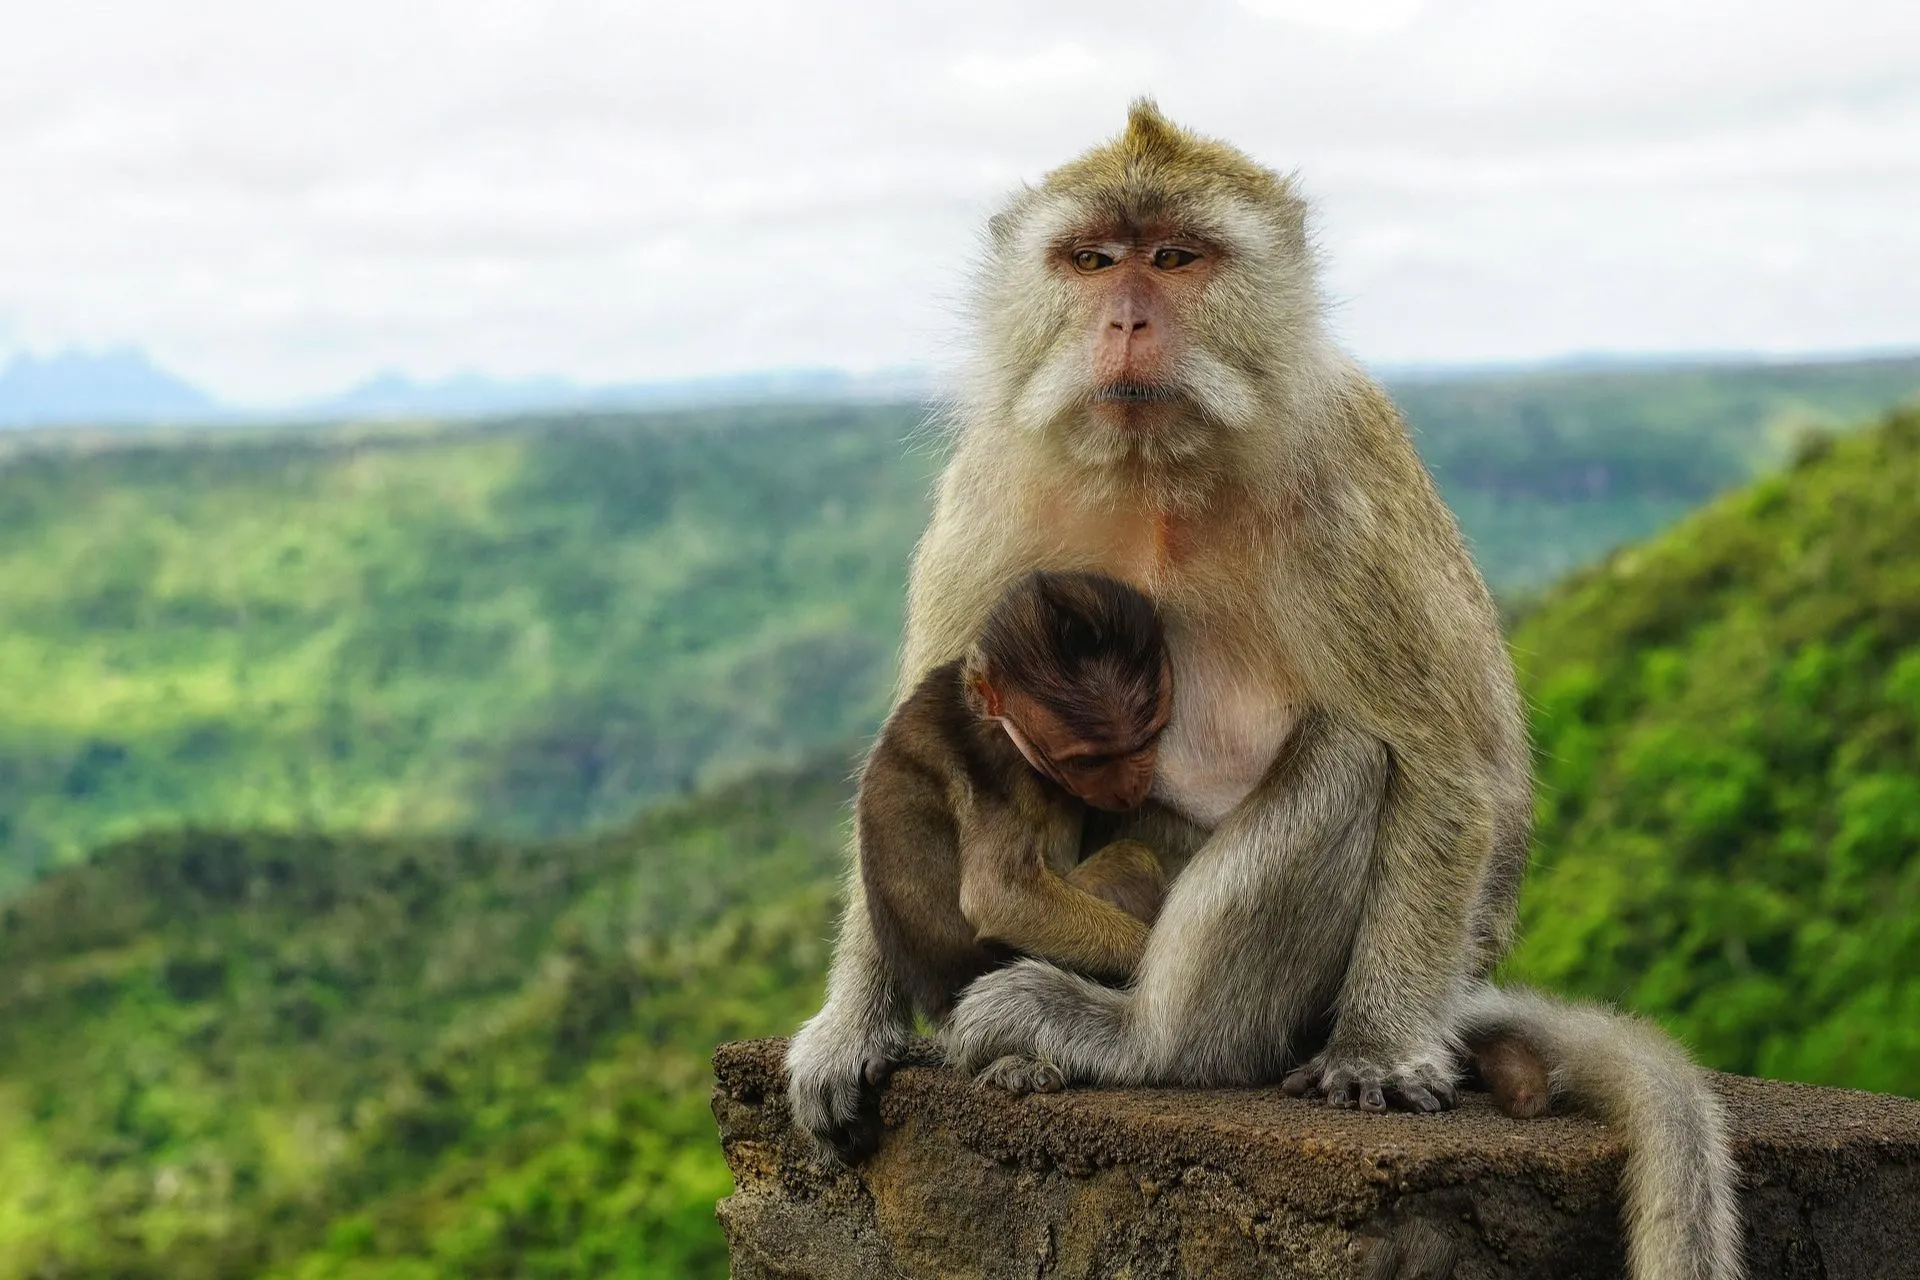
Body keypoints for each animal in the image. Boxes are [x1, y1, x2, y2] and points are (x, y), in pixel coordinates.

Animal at [786, 101, 1740, 1279]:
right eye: (1092, 259)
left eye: (1175, 258)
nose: (1127, 321)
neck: (1153, 471)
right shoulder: (988, 492)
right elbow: (915, 758)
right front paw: (850, 1023)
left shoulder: (1345, 485)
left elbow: (1455, 768)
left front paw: (1379, 1049)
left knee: (1350, 756)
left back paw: (1138, 1038)